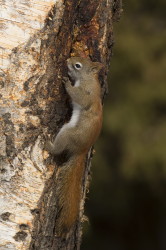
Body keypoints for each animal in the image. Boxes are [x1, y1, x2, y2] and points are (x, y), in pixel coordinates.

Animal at [45, 57, 102, 236]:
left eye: (78, 65)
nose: (68, 60)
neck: (88, 79)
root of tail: (81, 151)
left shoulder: (87, 93)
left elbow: (79, 97)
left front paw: (67, 83)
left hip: (67, 133)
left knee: (58, 148)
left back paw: (48, 144)